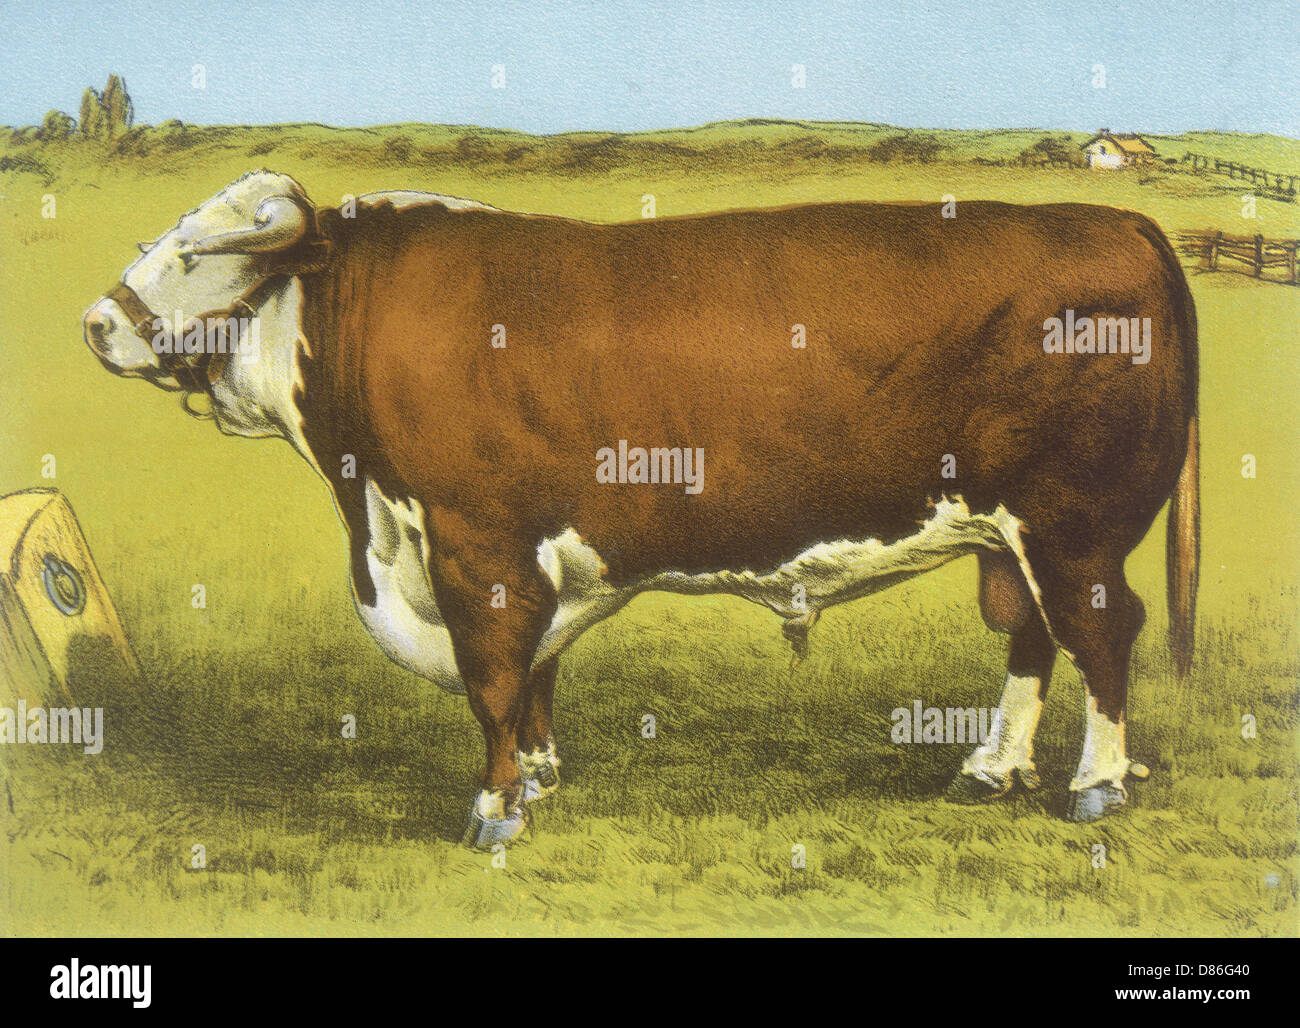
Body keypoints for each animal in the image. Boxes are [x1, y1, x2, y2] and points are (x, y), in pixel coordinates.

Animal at [84, 170, 1199, 847]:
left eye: (195, 255)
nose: (97, 320)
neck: (371, 520)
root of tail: (1113, 220)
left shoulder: (478, 544)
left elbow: (493, 675)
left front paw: (493, 809)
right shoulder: (524, 552)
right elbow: (535, 672)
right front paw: (536, 776)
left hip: (1074, 525)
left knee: (1102, 633)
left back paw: (1094, 785)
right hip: (1010, 531)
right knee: (1032, 637)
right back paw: (990, 767)